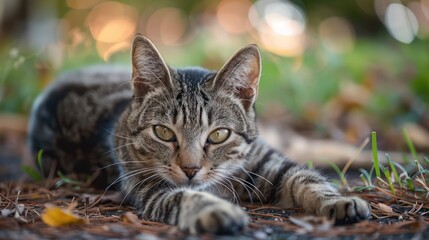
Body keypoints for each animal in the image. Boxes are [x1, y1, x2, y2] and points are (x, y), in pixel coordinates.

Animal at [27, 34, 368, 234]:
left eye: (218, 135)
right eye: (163, 132)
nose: (190, 169)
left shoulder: (271, 161)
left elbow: (306, 178)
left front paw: (338, 201)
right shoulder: (149, 188)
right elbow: (183, 196)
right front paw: (215, 210)